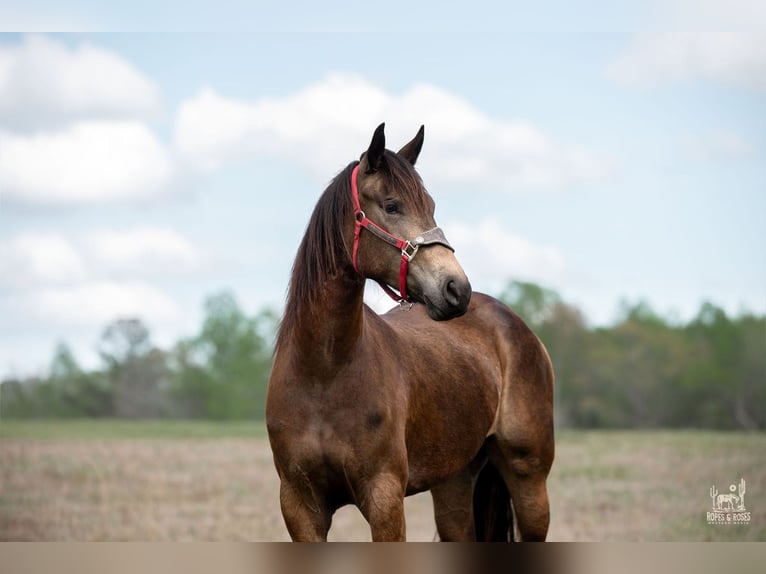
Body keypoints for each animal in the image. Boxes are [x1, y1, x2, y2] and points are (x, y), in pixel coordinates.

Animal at [266, 123, 554, 541]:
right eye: (392, 206)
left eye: (430, 206)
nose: (456, 289)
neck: (323, 373)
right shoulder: (300, 506)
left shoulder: (384, 496)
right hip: (454, 481)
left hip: (530, 480)